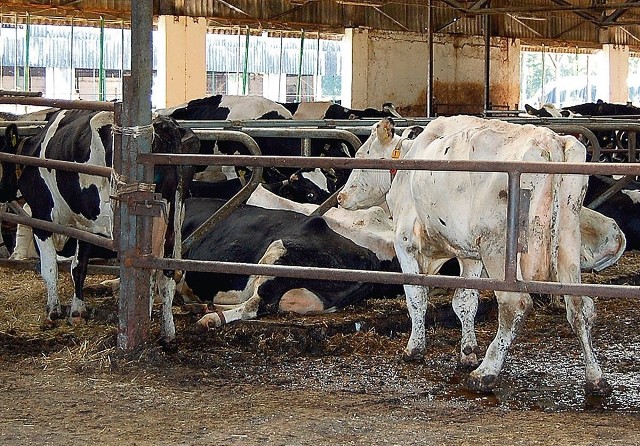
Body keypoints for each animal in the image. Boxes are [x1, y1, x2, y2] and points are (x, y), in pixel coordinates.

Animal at [0, 109, 199, 342]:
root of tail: (163, 124)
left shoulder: (42, 218)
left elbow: (49, 268)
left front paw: (52, 312)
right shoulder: (86, 226)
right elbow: (78, 267)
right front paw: (77, 311)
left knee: (151, 274)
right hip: (173, 222)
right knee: (165, 274)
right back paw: (167, 333)